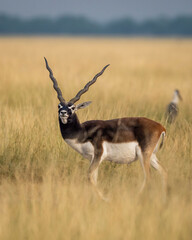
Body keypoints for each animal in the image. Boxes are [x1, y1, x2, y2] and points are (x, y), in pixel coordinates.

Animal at [44, 58, 167, 201]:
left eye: (73, 107)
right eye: (59, 105)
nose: (63, 112)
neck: (82, 132)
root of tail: (160, 127)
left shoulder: (99, 154)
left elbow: (89, 176)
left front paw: (105, 199)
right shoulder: (92, 158)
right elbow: (94, 178)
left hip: (144, 155)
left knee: (148, 177)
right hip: (151, 155)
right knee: (163, 172)